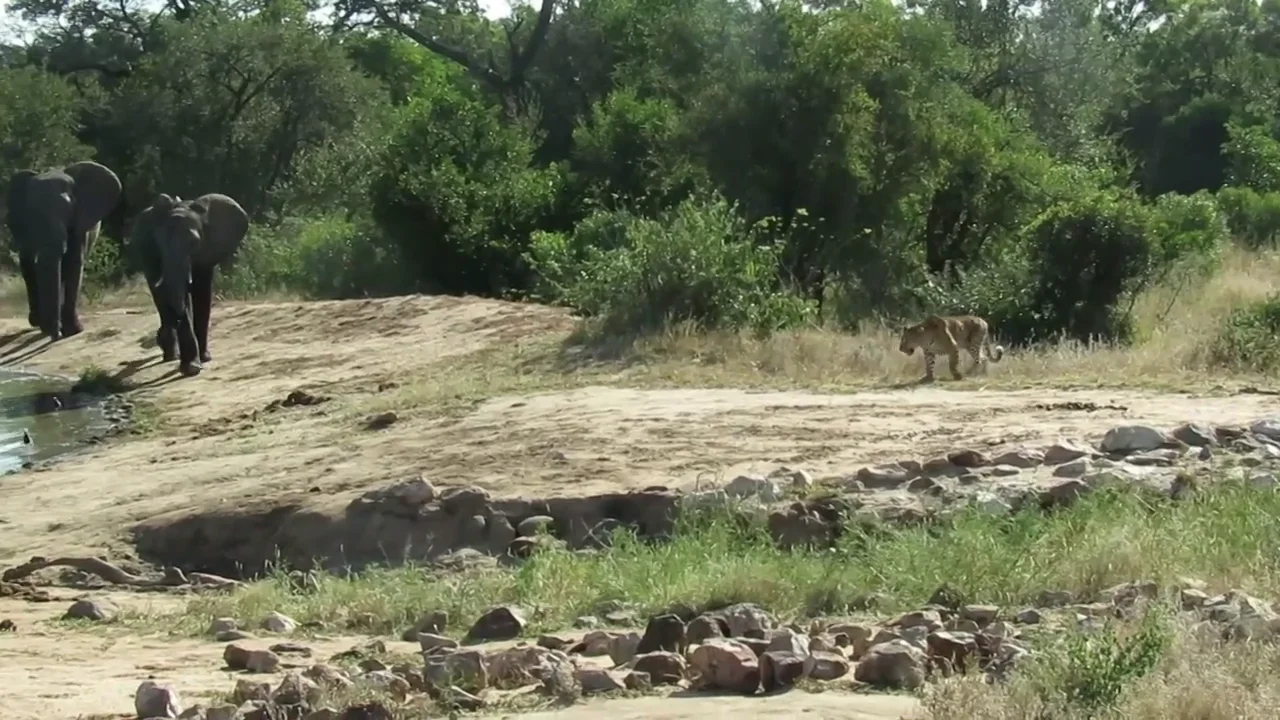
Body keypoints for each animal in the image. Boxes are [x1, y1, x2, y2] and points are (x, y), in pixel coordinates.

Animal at [4, 161, 122, 340]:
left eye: (69, 209)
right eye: (31, 214)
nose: (56, 335)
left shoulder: (79, 223)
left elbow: (74, 264)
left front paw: (74, 331)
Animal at [128, 192, 248, 377]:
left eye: (193, 243)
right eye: (159, 243)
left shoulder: (207, 250)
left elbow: (201, 293)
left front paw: (203, 359)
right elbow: (180, 294)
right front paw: (192, 368)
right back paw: (170, 354)